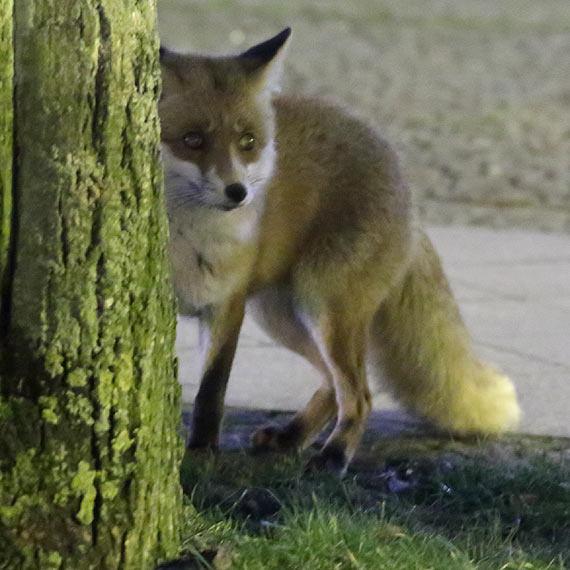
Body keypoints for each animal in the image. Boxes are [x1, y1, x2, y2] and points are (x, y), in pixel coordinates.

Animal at [158, 26, 516, 470]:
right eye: (192, 140)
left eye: (247, 141)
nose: (237, 192)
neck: (190, 245)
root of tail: (404, 182)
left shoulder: (226, 307)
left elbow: (211, 392)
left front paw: (202, 452)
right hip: (282, 315)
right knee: (331, 384)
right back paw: (292, 437)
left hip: (325, 310)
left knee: (359, 393)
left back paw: (334, 455)